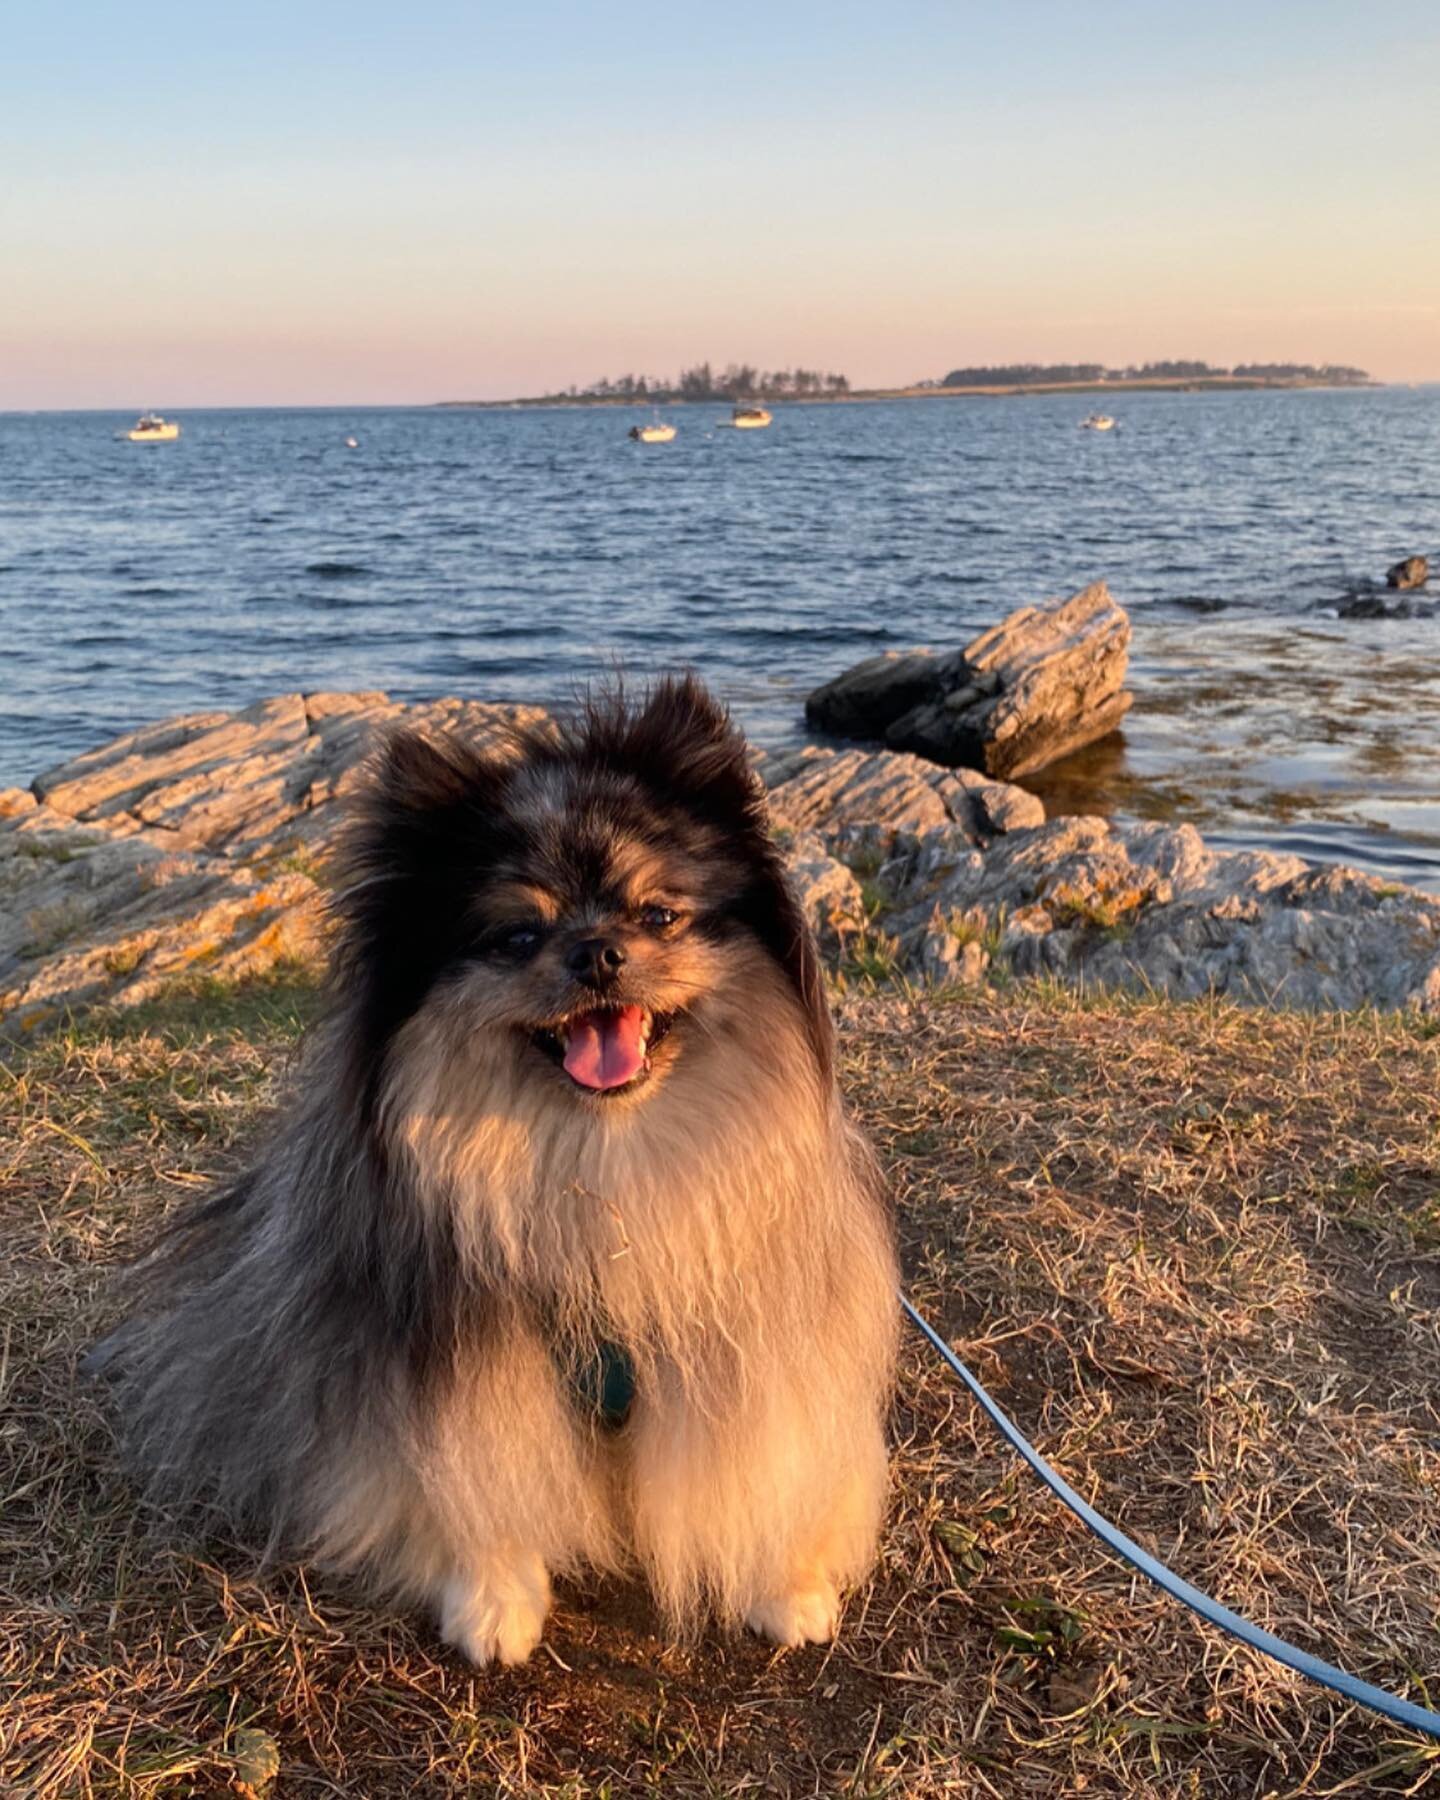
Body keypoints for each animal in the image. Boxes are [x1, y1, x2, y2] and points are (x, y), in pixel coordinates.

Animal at [90, 680, 892, 1663]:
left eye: (657, 916)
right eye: (517, 936)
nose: (597, 952)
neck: (603, 1159)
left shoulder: (735, 1327)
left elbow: (767, 1457)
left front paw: (786, 1583)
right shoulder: (458, 1347)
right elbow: (472, 1468)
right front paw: (494, 1596)